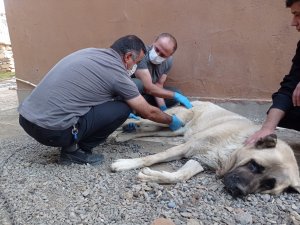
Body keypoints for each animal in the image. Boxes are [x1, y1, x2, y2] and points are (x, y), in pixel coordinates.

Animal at [110, 101, 300, 196]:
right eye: (254, 165)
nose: (238, 191)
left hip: (173, 130)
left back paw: (124, 136)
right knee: (139, 119)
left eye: (268, 184)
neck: (233, 150)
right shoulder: (188, 147)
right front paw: (125, 164)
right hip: (172, 118)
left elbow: (180, 176)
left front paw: (153, 176)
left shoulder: (201, 159)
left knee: (148, 131)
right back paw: (120, 128)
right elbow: (152, 157)